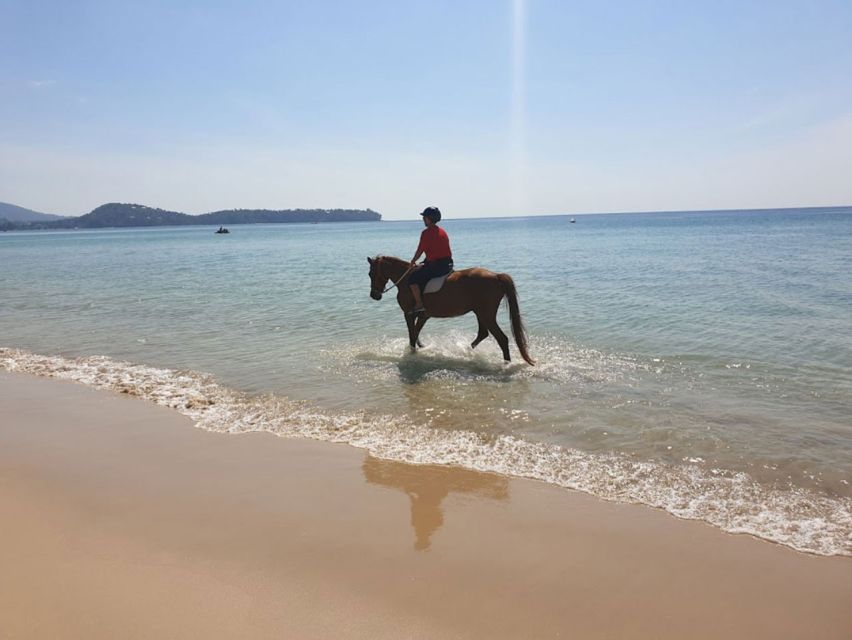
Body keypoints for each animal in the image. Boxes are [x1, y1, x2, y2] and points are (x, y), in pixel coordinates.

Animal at [364, 255, 532, 364]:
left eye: (371, 273)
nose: (374, 295)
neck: (406, 280)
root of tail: (496, 276)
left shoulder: (409, 314)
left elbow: (412, 334)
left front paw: (412, 353)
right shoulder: (423, 315)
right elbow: (416, 333)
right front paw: (421, 349)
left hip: (486, 315)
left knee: (502, 339)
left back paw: (506, 363)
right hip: (481, 313)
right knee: (483, 334)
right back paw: (467, 351)